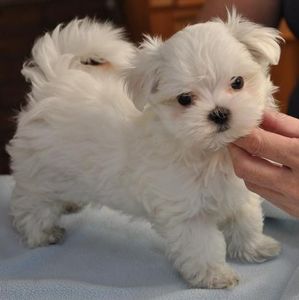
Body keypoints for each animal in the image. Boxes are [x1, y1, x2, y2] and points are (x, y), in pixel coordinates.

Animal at [7, 12, 284, 290]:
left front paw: (256, 247)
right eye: (185, 99)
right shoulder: (186, 212)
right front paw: (214, 274)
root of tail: (53, 82)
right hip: (40, 173)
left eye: (237, 82)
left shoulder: (239, 192)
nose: (219, 113)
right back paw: (40, 233)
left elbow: (246, 220)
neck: (209, 152)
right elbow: (202, 245)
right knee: (30, 203)